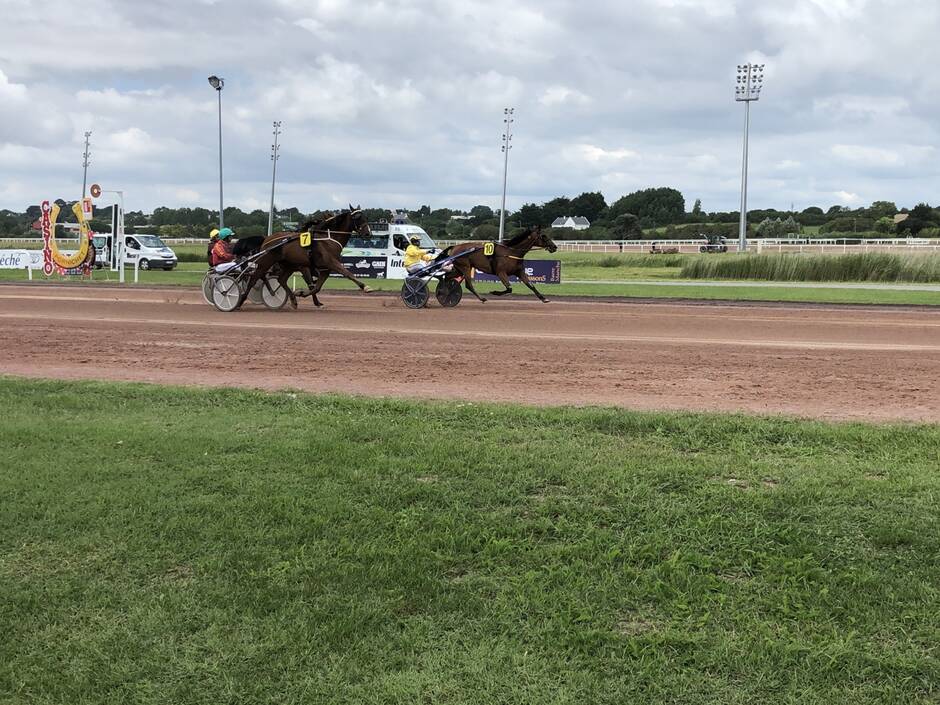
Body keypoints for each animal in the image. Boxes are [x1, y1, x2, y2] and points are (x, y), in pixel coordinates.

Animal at [229, 206, 372, 310]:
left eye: (366, 216)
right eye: (358, 217)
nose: (368, 233)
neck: (329, 239)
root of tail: (267, 239)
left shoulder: (324, 269)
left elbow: (316, 287)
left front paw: (302, 294)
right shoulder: (329, 263)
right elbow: (347, 273)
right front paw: (365, 287)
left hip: (288, 265)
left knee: (281, 279)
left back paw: (293, 299)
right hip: (266, 262)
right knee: (254, 279)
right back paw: (238, 300)